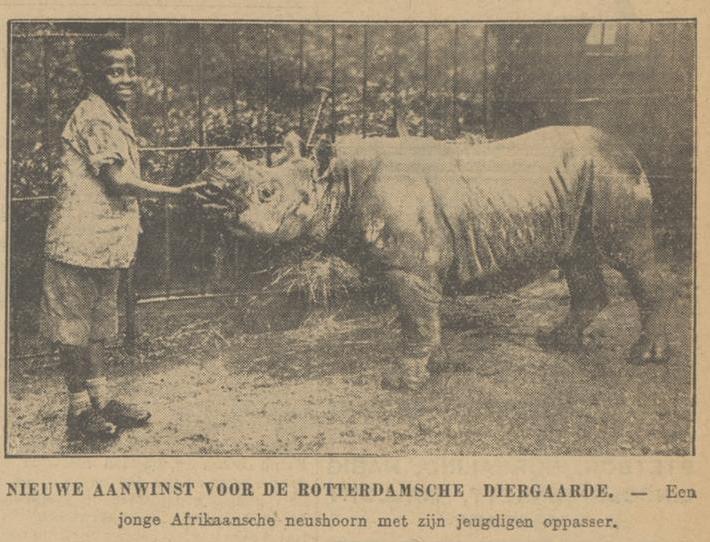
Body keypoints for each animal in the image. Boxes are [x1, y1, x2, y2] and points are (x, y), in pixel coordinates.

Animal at [195, 126, 670, 390]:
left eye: (266, 193)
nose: (214, 200)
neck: (337, 182)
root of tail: (626, 146)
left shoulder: (407, 266)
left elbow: (415, 318)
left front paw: (401, 382)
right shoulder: (414, 268)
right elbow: (423, 316)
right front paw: (436, 365)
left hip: (611, 173)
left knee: (628, 255)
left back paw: (646, 357)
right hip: (581, 180)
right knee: (576, 255)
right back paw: (555, 341)